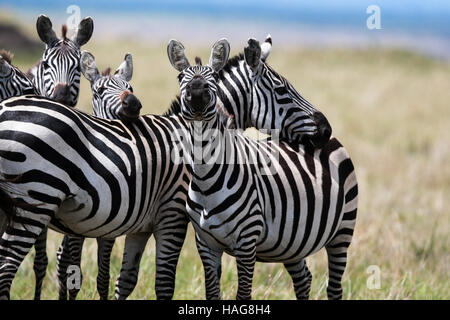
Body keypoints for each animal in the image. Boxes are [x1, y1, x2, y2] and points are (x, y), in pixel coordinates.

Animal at [55, 50, 142, 300]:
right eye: (100, 91)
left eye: (131, 87)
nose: (133, 103)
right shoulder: (75, 231)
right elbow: (74, 276)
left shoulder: (110, 232)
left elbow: (104, 278)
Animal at [168, 38, 358, 300]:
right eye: (282, 90)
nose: (325, 128)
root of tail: (335, 142)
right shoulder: (205, 243)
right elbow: (211, 293)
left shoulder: (247, 243)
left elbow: (243, 295)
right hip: (293, 242)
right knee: (304, 279)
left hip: (342, 232)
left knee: (334, 287)